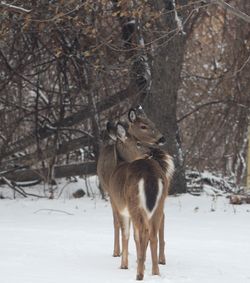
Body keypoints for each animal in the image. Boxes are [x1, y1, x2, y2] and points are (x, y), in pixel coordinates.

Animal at [109, 129, 174, 282]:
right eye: (138, 142)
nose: (152, 150)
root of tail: (150, 175)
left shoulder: (118, 206)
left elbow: (126, 234)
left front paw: (124, 265)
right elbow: (135, 236)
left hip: (135, 204)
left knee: (144, 232)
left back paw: (139, 274)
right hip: (159, 204)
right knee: (153, 234)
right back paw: (155, 271)